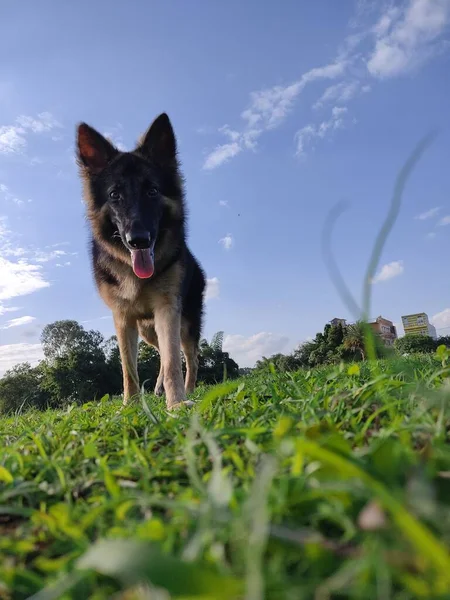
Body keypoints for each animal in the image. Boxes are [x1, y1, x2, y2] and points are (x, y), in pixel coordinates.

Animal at [76, 113, 206, 410]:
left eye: (152, 191)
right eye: (115, 195)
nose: (138, 241)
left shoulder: (167, 309)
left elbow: (172, 362)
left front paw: (176, 403)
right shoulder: (123, 317)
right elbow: (128, 367)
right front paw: (131, 404)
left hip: (185, 324)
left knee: (189, 357)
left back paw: (190, 388)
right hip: (147, 330)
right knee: (161, 352)